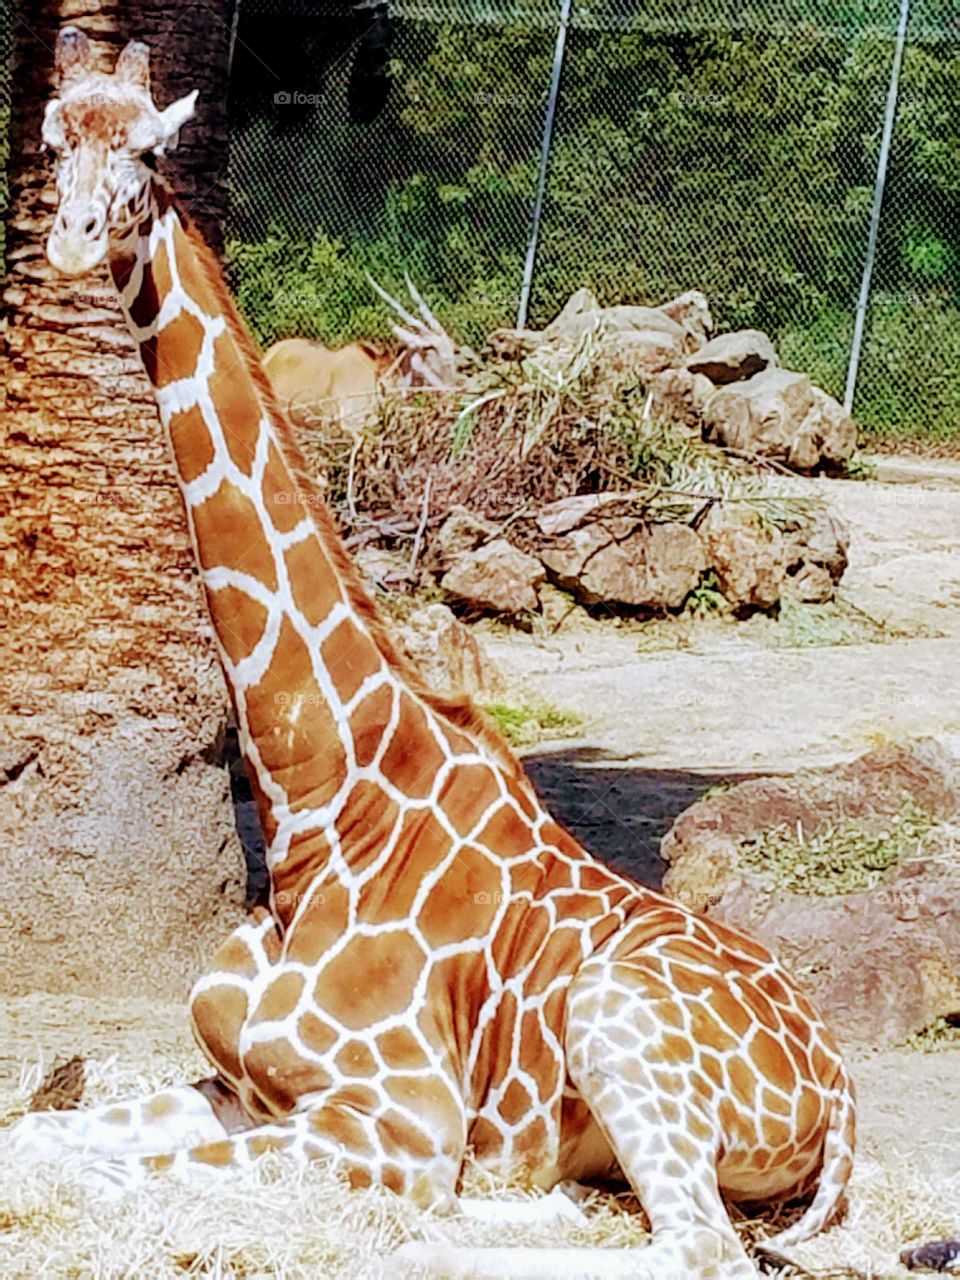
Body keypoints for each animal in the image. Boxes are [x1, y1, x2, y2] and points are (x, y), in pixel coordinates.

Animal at [6, 28, 856, 1279]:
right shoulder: (238, 1086)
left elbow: (95, 1172)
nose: (68, 239)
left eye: (152, 150)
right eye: (54, 138)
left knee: (694, 1244)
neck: (314, 804)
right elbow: (38, 1137)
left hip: (615, 1019)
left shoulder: (395, 1124)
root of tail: (843, 1088)